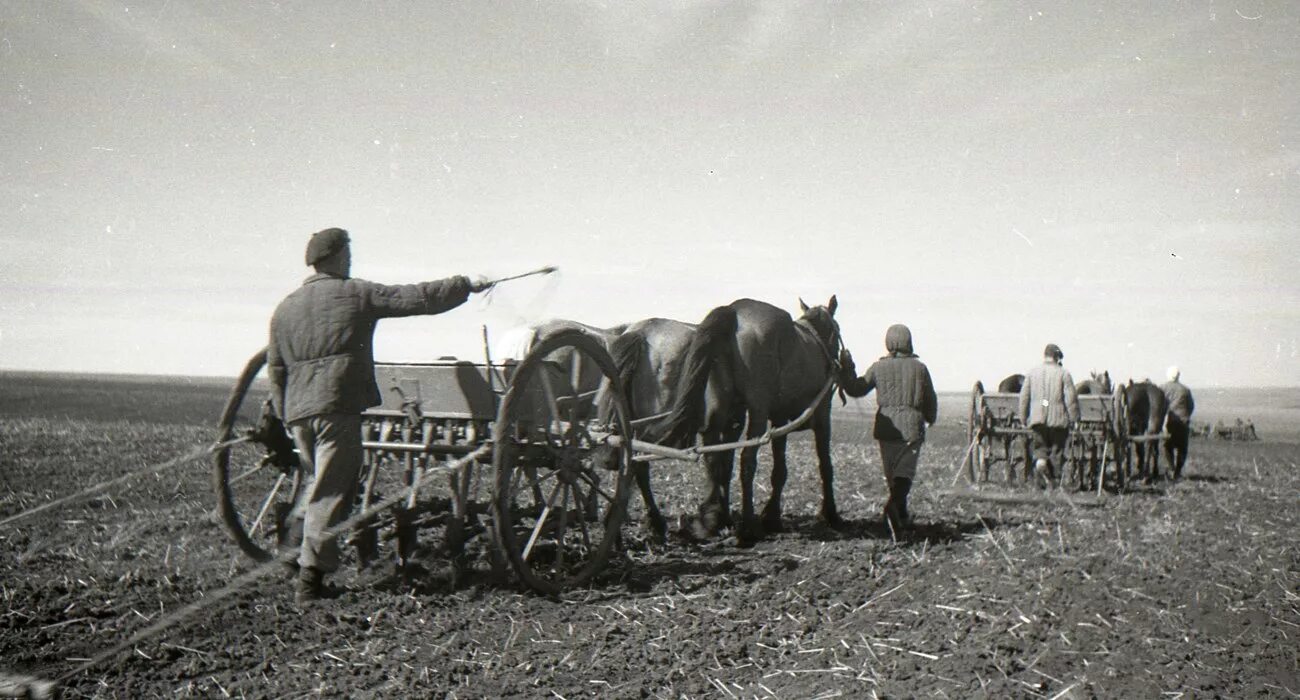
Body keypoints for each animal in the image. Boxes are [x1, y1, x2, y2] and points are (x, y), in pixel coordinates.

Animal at [647, 294, 847, 543]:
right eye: (837, 330)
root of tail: (733, 312)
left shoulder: (780, 420)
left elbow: (779, 470)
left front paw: (772, 517)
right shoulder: (821, 416)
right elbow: (825, 465)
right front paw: (831, 514)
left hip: (723, 407)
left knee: (716, 457)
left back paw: (715, 520)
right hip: (757, 411)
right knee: (747, 460)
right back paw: (747, 526)